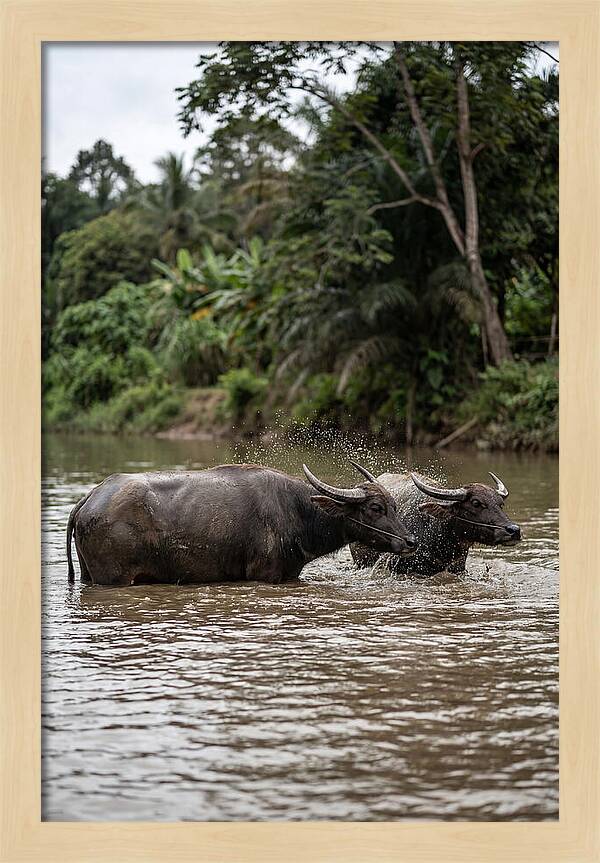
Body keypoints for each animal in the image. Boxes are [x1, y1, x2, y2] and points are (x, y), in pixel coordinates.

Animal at [67, 461, 417, 586]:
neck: (297, 511)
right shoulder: (265, 574)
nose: (410, 541)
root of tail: (90, 499)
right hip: (115, 579)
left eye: (395, 505)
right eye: (376, 507)